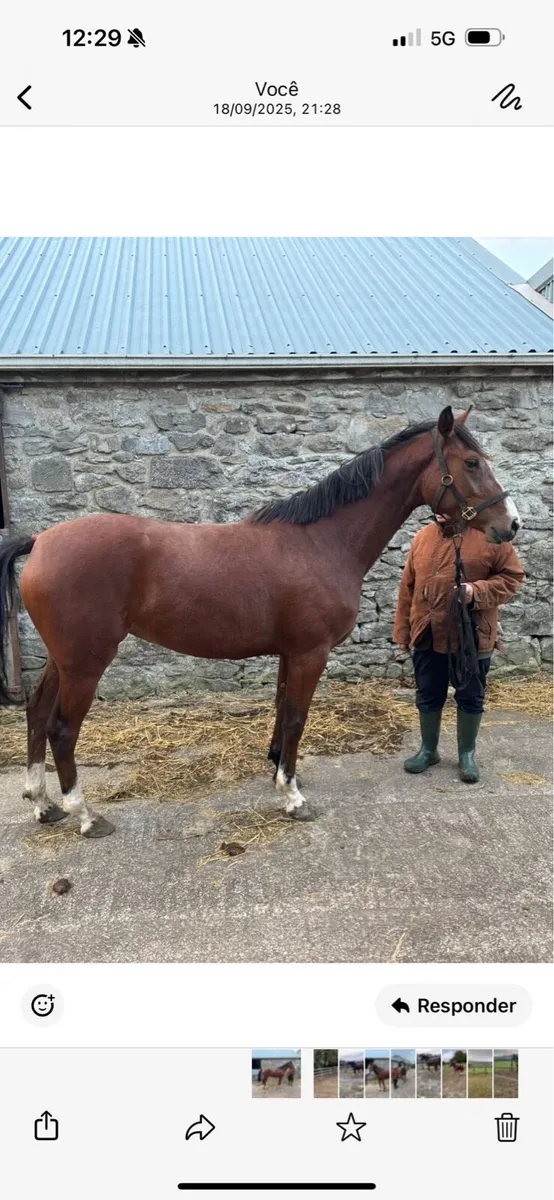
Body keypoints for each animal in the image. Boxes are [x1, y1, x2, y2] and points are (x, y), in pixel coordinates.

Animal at [0, 405, 519, 838]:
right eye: (472, 463)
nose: (511, 524)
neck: (320, 542)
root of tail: (41, 541)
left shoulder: (291, 652)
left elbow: (281, 710)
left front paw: (279, 772)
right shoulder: (310, 653)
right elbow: (296, 716)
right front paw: (292, 797)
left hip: (63, 659)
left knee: (37, 714)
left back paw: (43, 805)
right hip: (86, 663)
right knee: (61, 728)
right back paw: (84, 815)